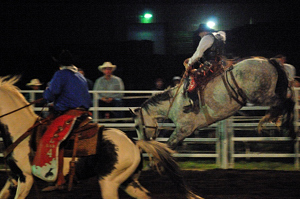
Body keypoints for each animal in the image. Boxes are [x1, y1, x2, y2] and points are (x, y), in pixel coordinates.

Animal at [0, 76, 203, 199]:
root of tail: (135, 143)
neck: (21, 130)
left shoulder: (26, 177)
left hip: (109, 181)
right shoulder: (13, 177)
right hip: (128, 181)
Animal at [132, 57, 296, 148]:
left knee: (286, 103)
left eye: (137, 126)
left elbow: (168, 146)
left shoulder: (183, 129)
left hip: (262, 96)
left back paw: (283, 128)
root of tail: (268, 61)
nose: (142, 143)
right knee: (286, 103)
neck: (173, 103)